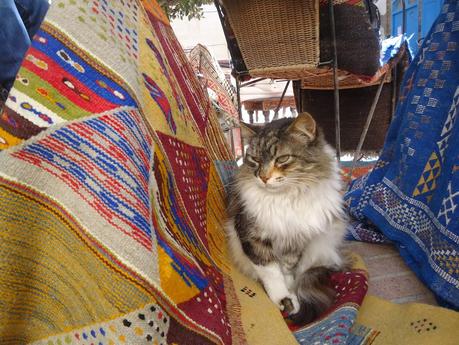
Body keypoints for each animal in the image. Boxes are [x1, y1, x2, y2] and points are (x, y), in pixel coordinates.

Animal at [226, 111, 348, 322]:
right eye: (255, 160)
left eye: (282, 159)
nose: (263, 177)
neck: (286, 198)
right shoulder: (252, 236)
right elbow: (272, 274)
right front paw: (284, 299)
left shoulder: (295, 242)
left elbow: (288, 272)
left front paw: (291, 294)